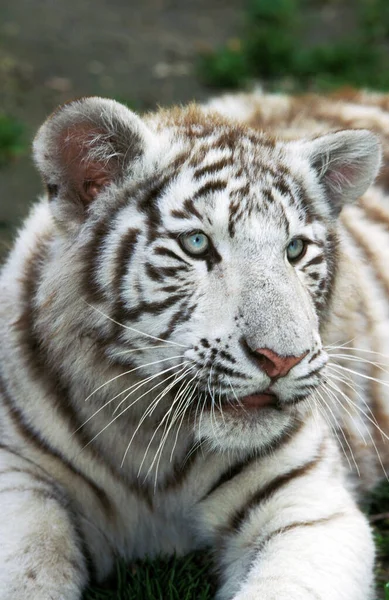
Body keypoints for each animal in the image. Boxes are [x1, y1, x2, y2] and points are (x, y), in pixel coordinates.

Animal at [0, 89, 388, 600]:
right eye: (197, 243)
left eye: (295, 250)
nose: (282, 360)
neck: (147, 436)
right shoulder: (19, 476)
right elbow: (26, 572)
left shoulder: (306, 507)